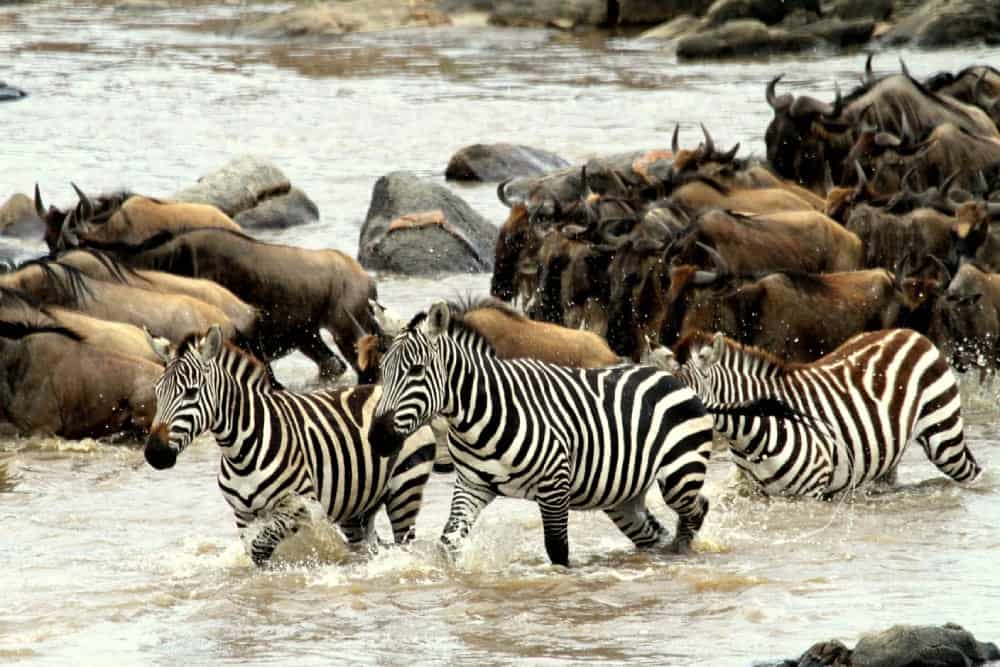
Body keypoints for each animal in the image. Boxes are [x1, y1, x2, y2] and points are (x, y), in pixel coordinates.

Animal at [143, 326, 436, 568]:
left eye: (191, 393)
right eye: (157, 391)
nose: (154, 453)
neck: (240, 450)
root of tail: (383, 390)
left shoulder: (300, 506)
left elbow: (261, 546)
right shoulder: (243, 515)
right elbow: (254, 551)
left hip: (405, 486)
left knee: (404, 541)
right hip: (358, 505)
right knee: (366, 544)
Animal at [372, 300, 716, 568]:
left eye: (416, 370)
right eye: (382, 369)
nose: (378, 436)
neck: (481, 415)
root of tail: (670, 377)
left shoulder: (554, 484)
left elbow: (557, 550)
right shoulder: (471, 485)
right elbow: (447, 542)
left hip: (679, 475)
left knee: (697, 508)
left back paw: (683, 552)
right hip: (623, 497)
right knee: (653, 533)